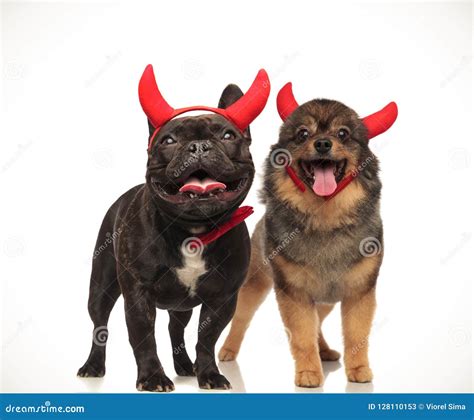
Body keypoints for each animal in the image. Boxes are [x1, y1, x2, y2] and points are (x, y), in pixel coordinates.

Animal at [218, 98, 386, 388]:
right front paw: (308, 373)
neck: (325, 220)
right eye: (303, 134)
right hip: (255, 285)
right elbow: (302, 336)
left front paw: (359, 369)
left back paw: (325, 351)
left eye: (343, 133)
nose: (323, 143)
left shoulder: (359, 292)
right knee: (240, 318)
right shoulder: (294, 293)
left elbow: (356, 335)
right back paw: (228, 351)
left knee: (318, 323)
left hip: (326, 300)